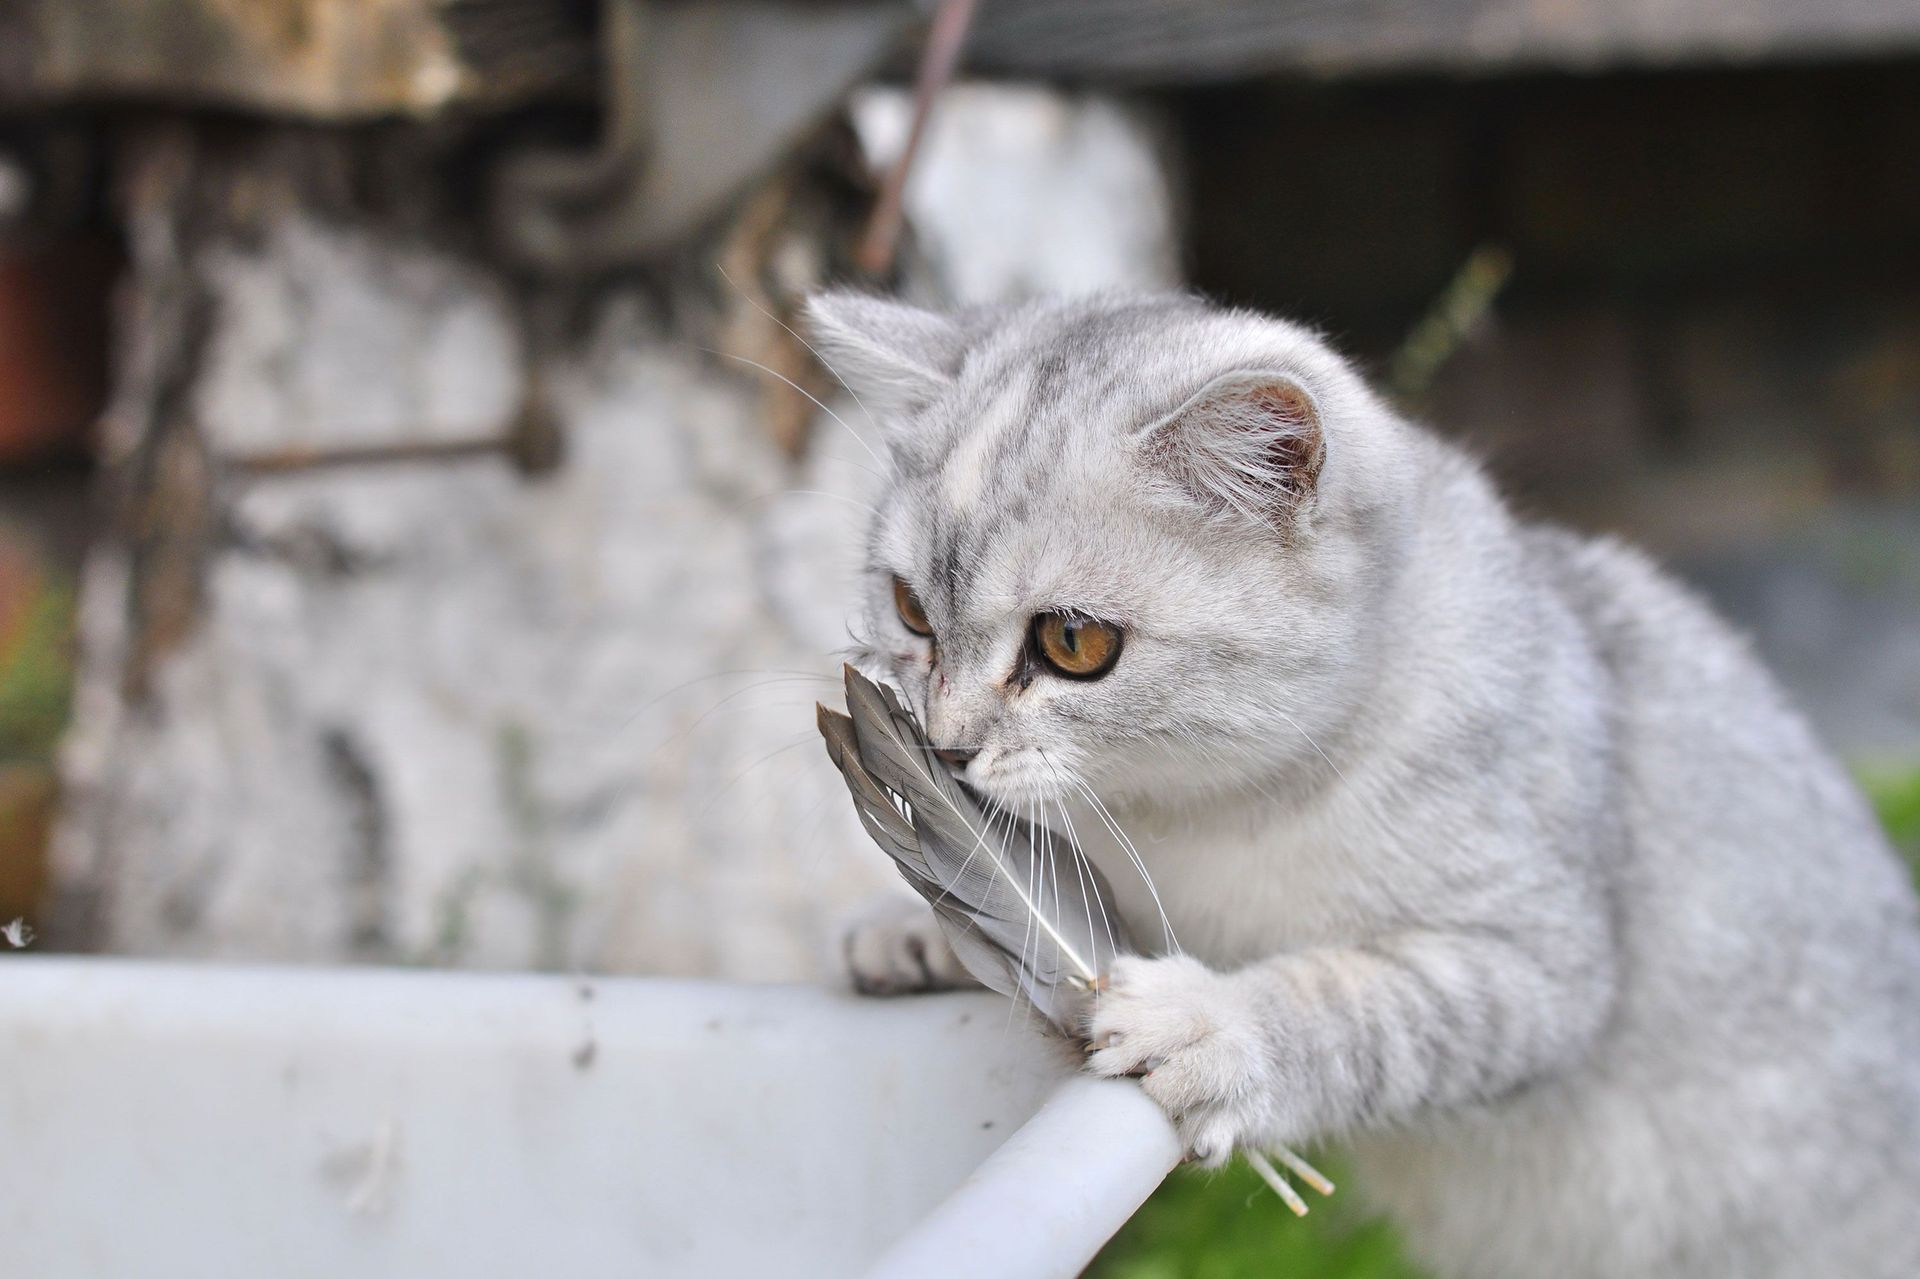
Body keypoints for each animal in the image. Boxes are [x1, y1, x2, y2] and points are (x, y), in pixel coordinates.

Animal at [806, 288, 1920, 1275]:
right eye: (910, 609)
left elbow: (1354, 1004)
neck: (1194, 817)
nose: (943, 746)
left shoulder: (1537, 964)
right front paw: (912, 922)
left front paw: (1213, 1027)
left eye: (1073, 642)